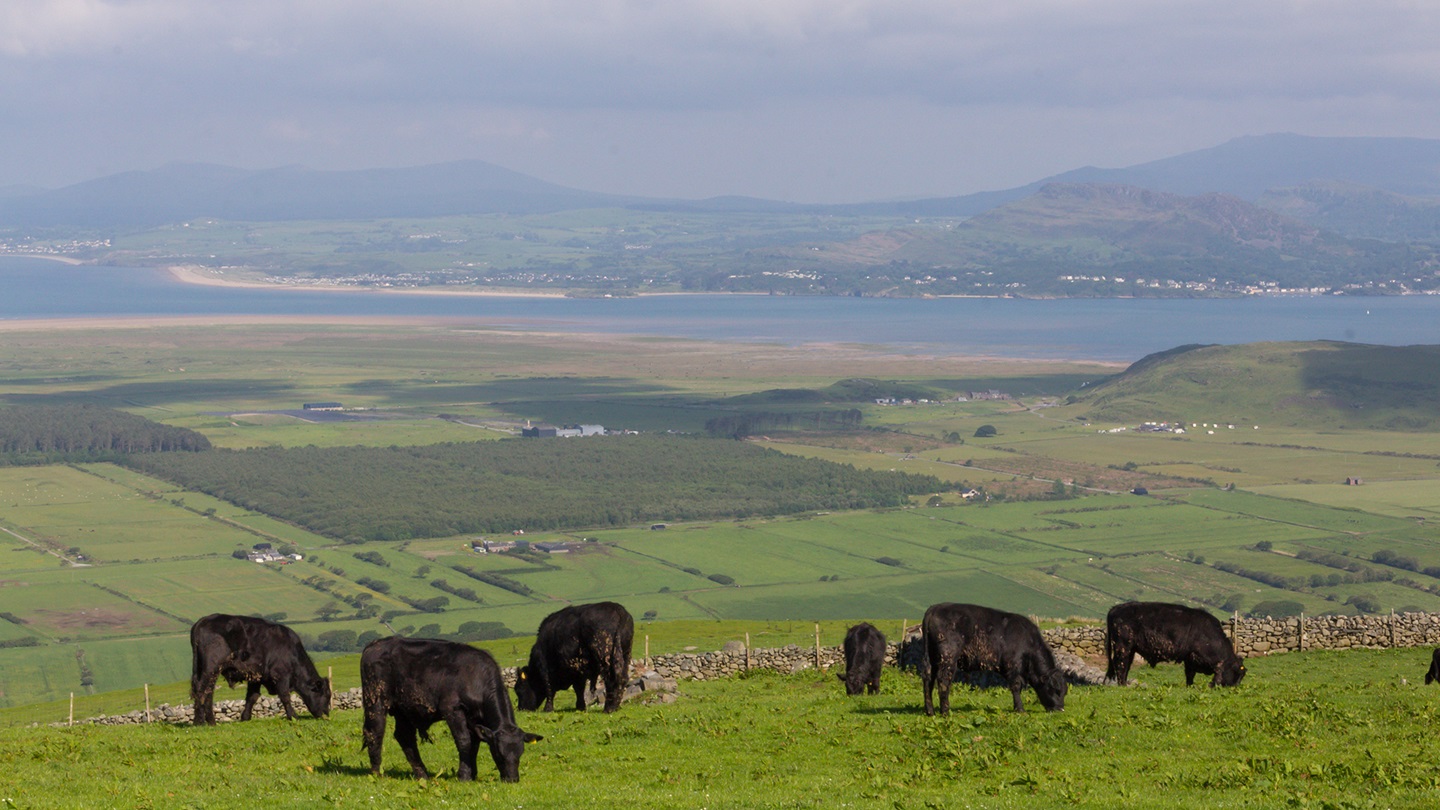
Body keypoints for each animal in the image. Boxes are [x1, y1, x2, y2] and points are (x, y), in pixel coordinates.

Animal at [189, 613, 331, 725]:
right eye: (326, 695)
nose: (326, 714)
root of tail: (203, 620)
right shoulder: (281, 675)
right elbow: (285, 696)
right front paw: (294, 716)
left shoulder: (256, 676)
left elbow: (252, 697)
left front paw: (245, 717)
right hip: (211, 667)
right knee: (202, 689)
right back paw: (200, 722)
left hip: (204, 668)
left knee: (207, 691)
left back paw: (209, 721)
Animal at [361, 636, 542, 783]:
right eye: (498, 753)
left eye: (520, 753)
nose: (512, 779)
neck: (475, 678)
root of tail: (375, 644)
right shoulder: (453, 709)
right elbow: (464, 741)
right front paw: (464, 776)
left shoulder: (474, 719)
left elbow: (474, 744)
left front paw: (472, 774)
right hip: (375, 701)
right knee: (374, 732)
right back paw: (377, 773)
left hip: (404, 709)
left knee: (405, 737)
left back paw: (422, 774)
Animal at [921, 603, 1067, 715]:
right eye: (1056, 690)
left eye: (1064, 692)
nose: (1060, 709)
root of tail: (935, 608)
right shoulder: (1013, 666)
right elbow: (1016, 687)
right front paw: (1020, 709)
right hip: (948, 657)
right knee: (943, 680)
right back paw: (945, 711)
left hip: (932, 658)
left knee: (928, 679)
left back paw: (930, 711)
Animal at [1105, 601, 1246, 687]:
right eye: (1237, 674)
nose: (1235, 688)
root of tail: (1116, 608)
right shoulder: (1193, 657)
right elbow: (1191, 673)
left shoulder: (1189, 659)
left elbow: (1189, 675)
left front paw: (1190, 687)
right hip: (1122, 646)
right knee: (1120, 664)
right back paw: (1122, 685)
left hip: (1131, 648)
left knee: (1126, 665)